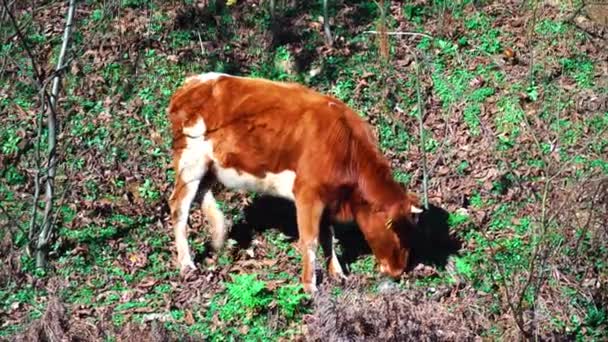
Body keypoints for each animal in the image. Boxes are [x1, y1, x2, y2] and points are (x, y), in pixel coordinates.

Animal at [166, 71, 422, 292]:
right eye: (397, 231)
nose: (399, 271)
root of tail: (191, 83)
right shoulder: (307, 193)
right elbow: (310, 240)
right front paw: (310, 286)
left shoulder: (326, 195)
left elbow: (327, 235)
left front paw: (337, 273)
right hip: (190, 161)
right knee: (179, 206)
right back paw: (187, 264)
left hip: (210, 166)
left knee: (201, 194)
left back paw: (219, 236)